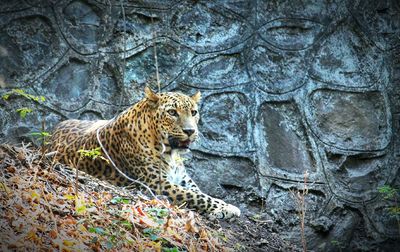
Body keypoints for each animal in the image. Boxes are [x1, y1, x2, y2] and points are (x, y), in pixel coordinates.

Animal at [47, 86, 241, 219]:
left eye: (194, 112)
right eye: (172, 112)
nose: (190, 131)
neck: (170, 152)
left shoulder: (183, 179)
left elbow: (200, 192)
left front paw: (223, 207)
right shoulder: (158, 184)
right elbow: (195, 196)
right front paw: (228, 208)